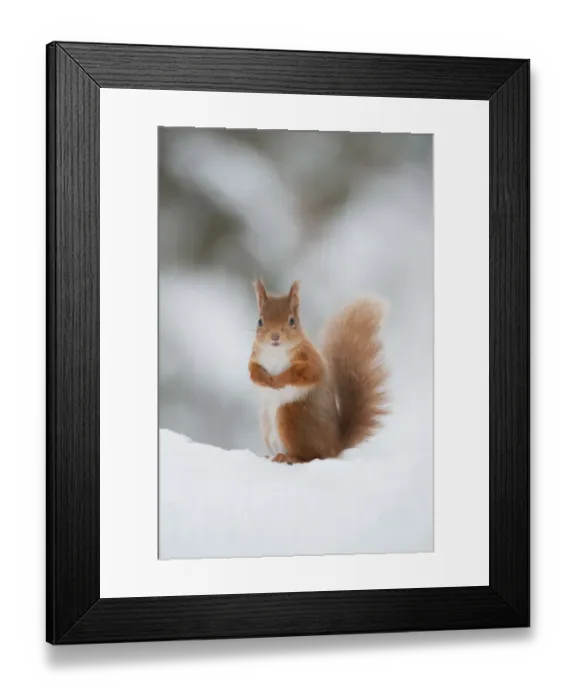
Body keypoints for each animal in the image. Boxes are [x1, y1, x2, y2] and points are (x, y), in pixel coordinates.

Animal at [248, 279, 389, 464]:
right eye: (260, 321)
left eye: (292, 321)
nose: (275, 336)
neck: (275, 352)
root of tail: (335, 446)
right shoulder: (254, 357)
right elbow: (253, 372)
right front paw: (265, 380)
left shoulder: (311, 359)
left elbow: (308, 372)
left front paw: (279, 379)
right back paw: (271, 455)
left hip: (291, 416)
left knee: (311, 456)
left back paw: (289, 457)